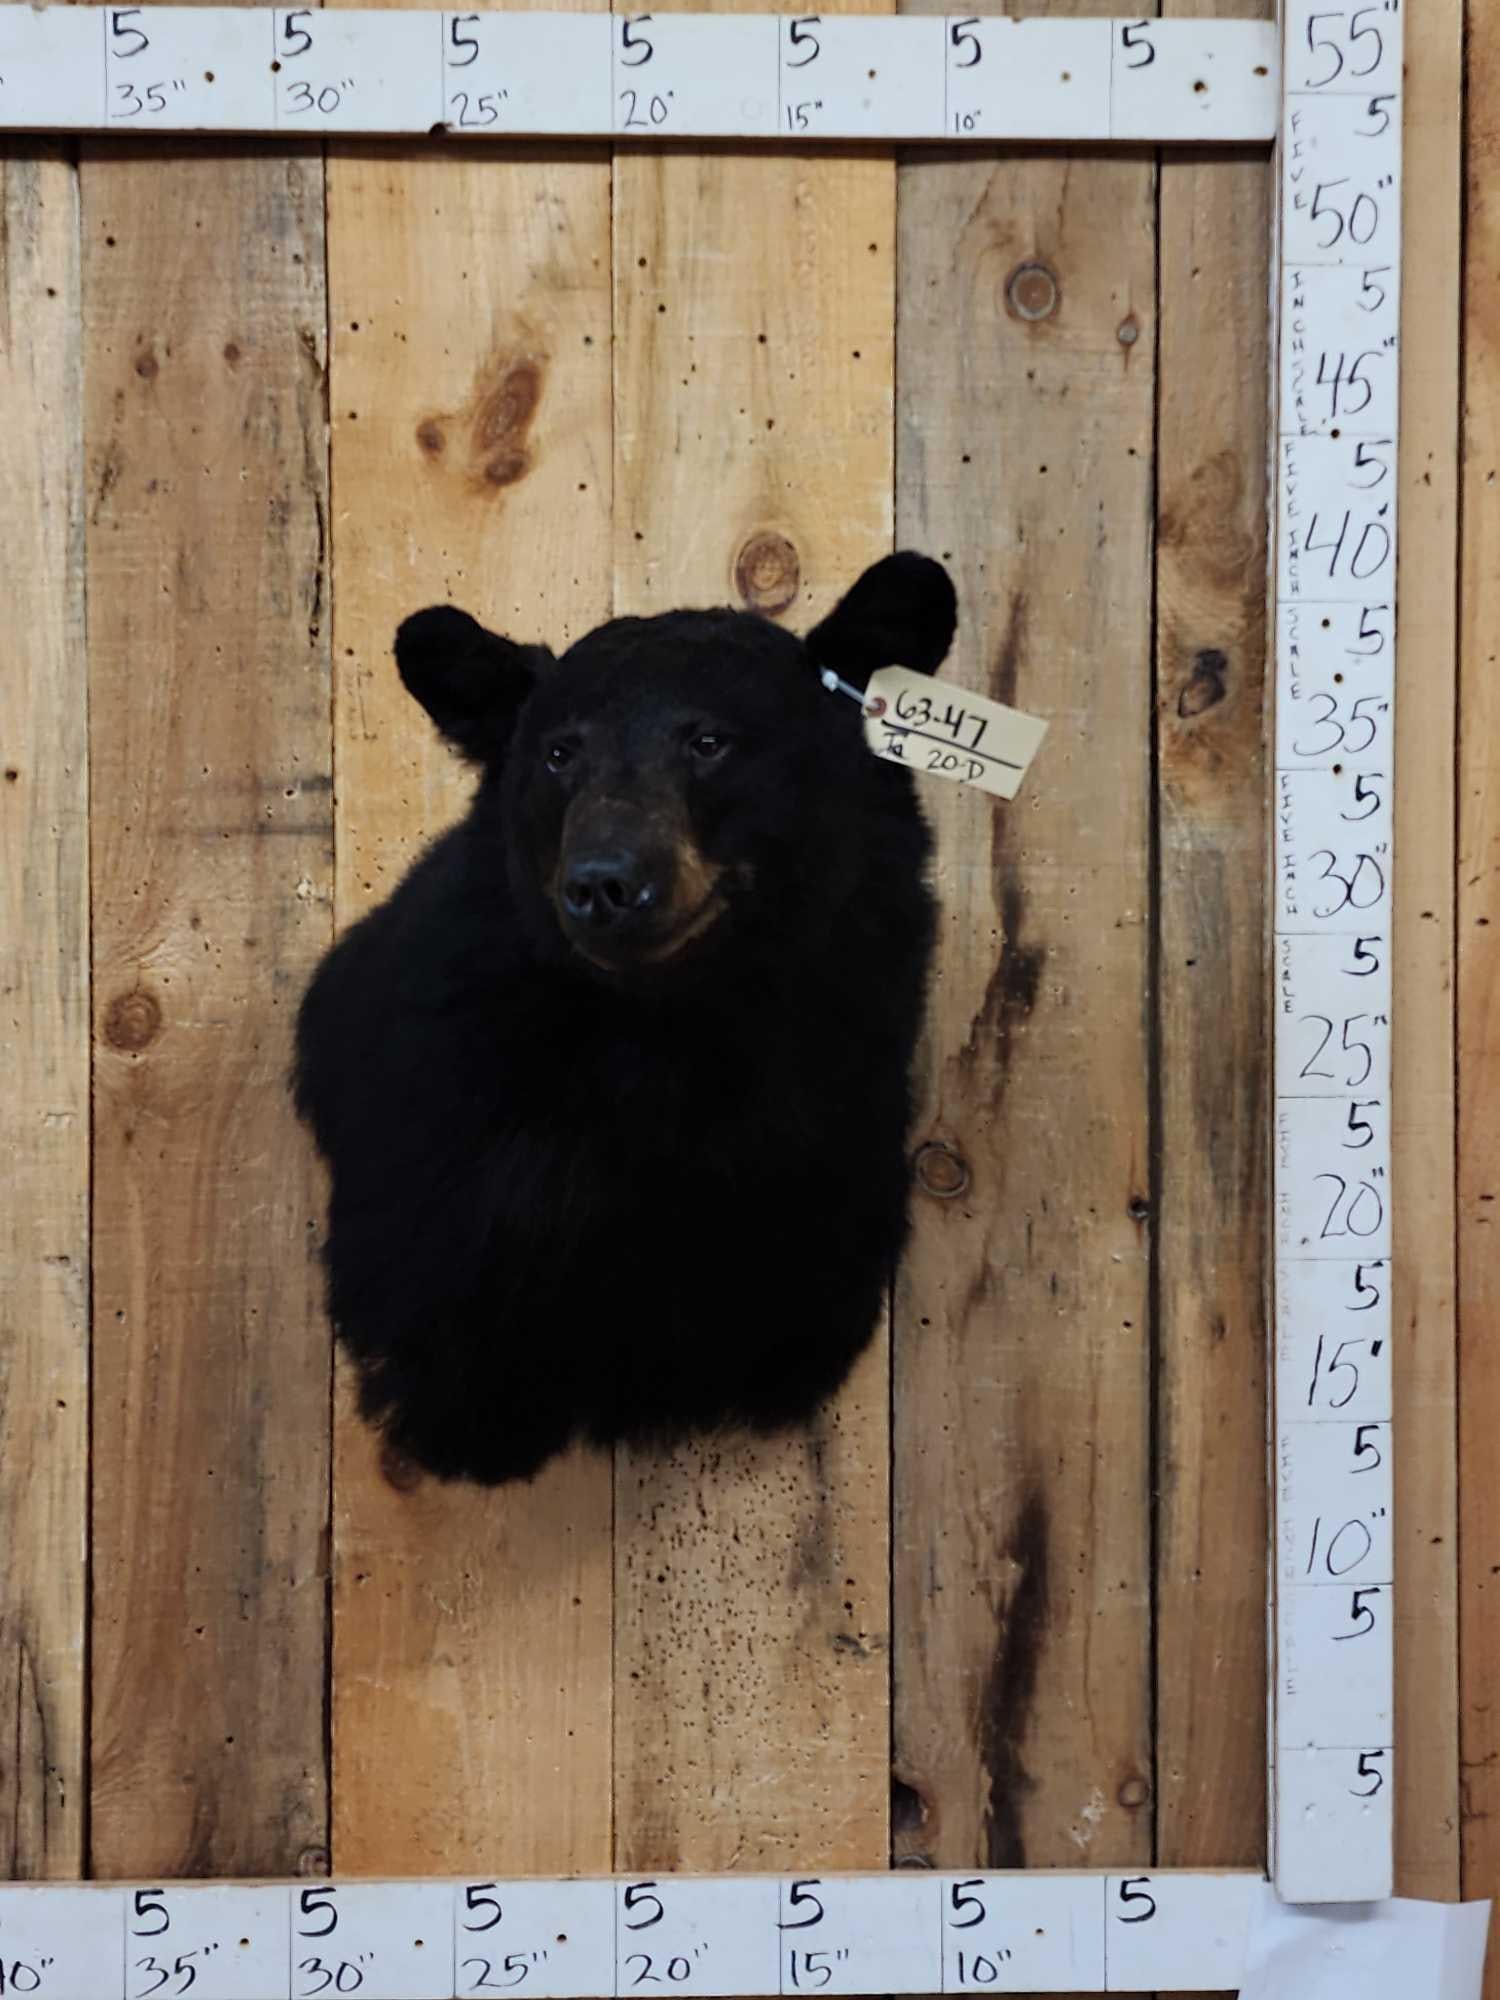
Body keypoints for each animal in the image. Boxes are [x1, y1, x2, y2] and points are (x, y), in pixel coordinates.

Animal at [292, 551, 956, 1485]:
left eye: (710, 741)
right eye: (558, 753)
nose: (602, 883)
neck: (664, 1034)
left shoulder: (827, 1132)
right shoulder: (444, 1127)